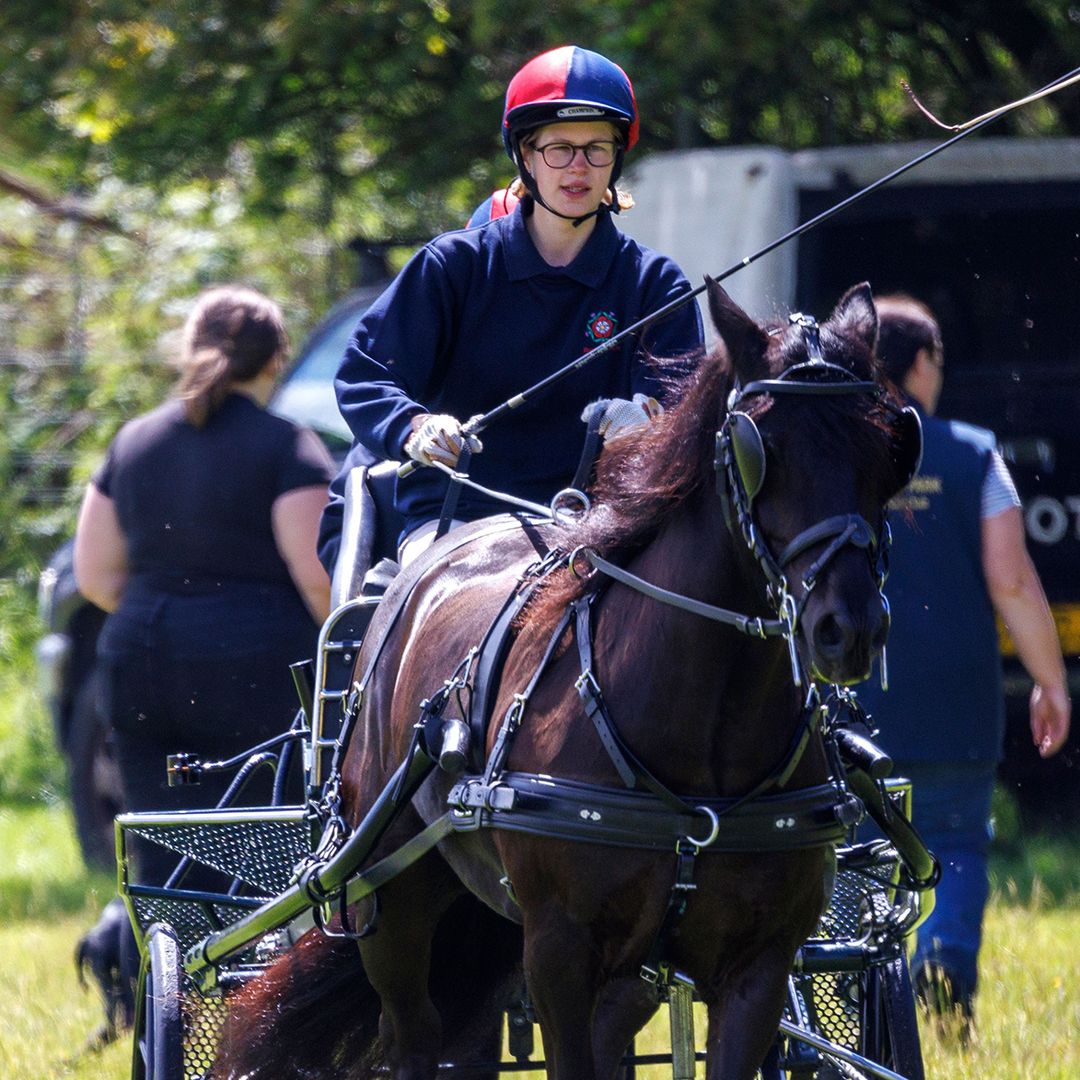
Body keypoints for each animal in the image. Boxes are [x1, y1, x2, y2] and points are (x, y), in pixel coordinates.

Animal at [217, 285, 920, 1080]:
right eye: (759, 448)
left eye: (891, 448)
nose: (848, 626)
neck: (701, 746)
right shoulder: (557, 951)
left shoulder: (759, 965)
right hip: (389, 900)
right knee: (414, 1034)